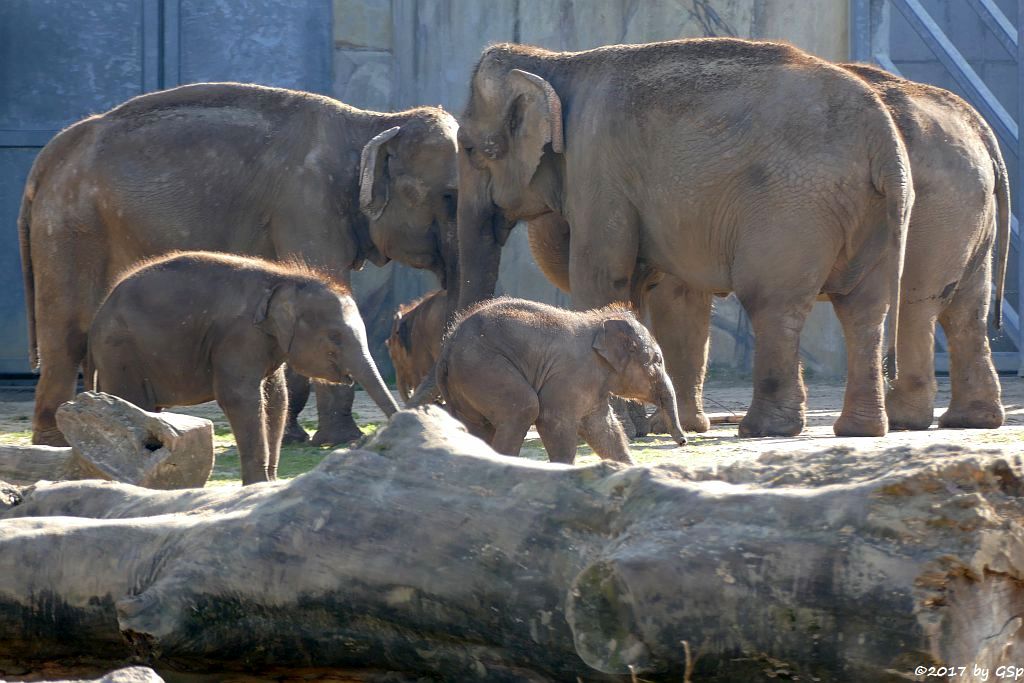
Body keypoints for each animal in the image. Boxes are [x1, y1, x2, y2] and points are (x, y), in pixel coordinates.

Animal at [18, 82, 460, 446]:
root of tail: (48, 159)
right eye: (450, 196)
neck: (373, 121)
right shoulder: (307, 204)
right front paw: (342, 440)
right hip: (71, 226)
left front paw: (296, 436)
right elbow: (323, 282)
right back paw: (56, 442)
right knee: (69, 329)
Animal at [88, 252, 399, 485]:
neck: (285, 279)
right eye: (335, 336)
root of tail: (99, 311)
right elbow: (241, 398)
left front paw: (269, 483)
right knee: (131, 402)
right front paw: (256, 484)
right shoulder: (238, 336)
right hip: (120, 352)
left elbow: (277, 399)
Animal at [415, 299, 688, 464]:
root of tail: (447, 348)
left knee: (478, 426)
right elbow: (554, 420)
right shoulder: (572, 377)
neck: (600, 323)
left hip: (465, 381)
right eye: (658, 361)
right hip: (483, 367)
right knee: (523, 409)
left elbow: (604, 429)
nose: (683, 441)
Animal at [456, 38, 913, 438]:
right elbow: (650, 289)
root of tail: (884, 138)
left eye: (471, 148)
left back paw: (765, 429)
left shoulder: (595, 167)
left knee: (772, 301)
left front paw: (625, 428)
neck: (554, 62)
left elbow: (601, 278)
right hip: (875, 212)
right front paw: (643, 427)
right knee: (864, 310)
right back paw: (859, 429)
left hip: (794, 206)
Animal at [532, 65, 1011, 432]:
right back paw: (966, 420)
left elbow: (679, 298)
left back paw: (907, 419)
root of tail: (977, 126)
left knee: (918, 302)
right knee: (963, 306)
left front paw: (665, 427)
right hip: (965, 209)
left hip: (938, 208)